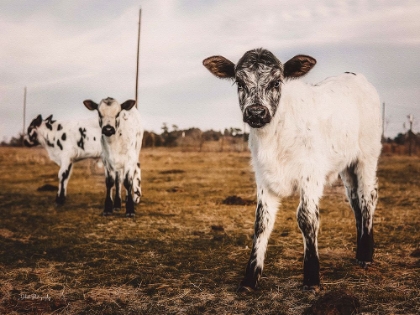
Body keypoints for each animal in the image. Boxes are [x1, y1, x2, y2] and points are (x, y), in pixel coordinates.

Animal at [202, 48, 382, 292]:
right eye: (239, 82)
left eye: (277, 81)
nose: (256, 113)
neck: (274, 135)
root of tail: (355, 76)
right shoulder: (264, 177)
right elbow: (261, 222)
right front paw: (249, 279)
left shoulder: (311, 176)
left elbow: (307, 219)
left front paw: (312, 278)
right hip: (347, 166)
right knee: (354, 201)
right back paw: (359, 250)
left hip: (367, 157)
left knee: (367, 199)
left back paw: (366, 255)